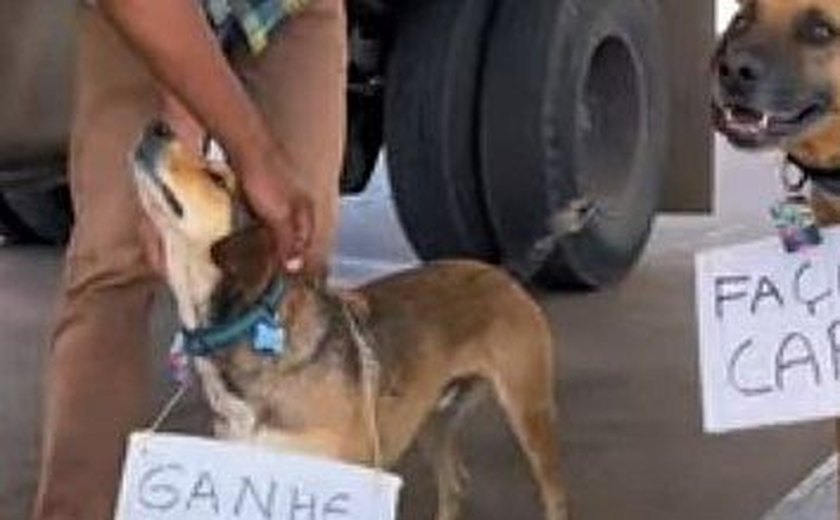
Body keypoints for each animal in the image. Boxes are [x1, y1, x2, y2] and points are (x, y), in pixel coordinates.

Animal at [131, 123, 572, 520]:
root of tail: (505, 272)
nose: (157, 126)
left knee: (554, 495)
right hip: (431, 419)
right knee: (454, 485)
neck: (249, 327)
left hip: (529, 411)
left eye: (217, 178)